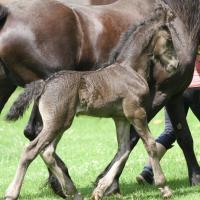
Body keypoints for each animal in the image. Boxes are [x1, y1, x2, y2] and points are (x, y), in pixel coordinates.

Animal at [0, 0, 199, 197]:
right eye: (169, 40)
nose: (175, 65)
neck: (130, 69)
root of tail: (44, 84)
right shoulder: (138, 111)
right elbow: (150, 144)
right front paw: (164, 186)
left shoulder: (121, 117)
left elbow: (123, 149)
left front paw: (101, 188)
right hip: (56, 122)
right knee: (31, 149)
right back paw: (13, 192)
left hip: (61, 122)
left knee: (47, 151)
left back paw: (72, 191)